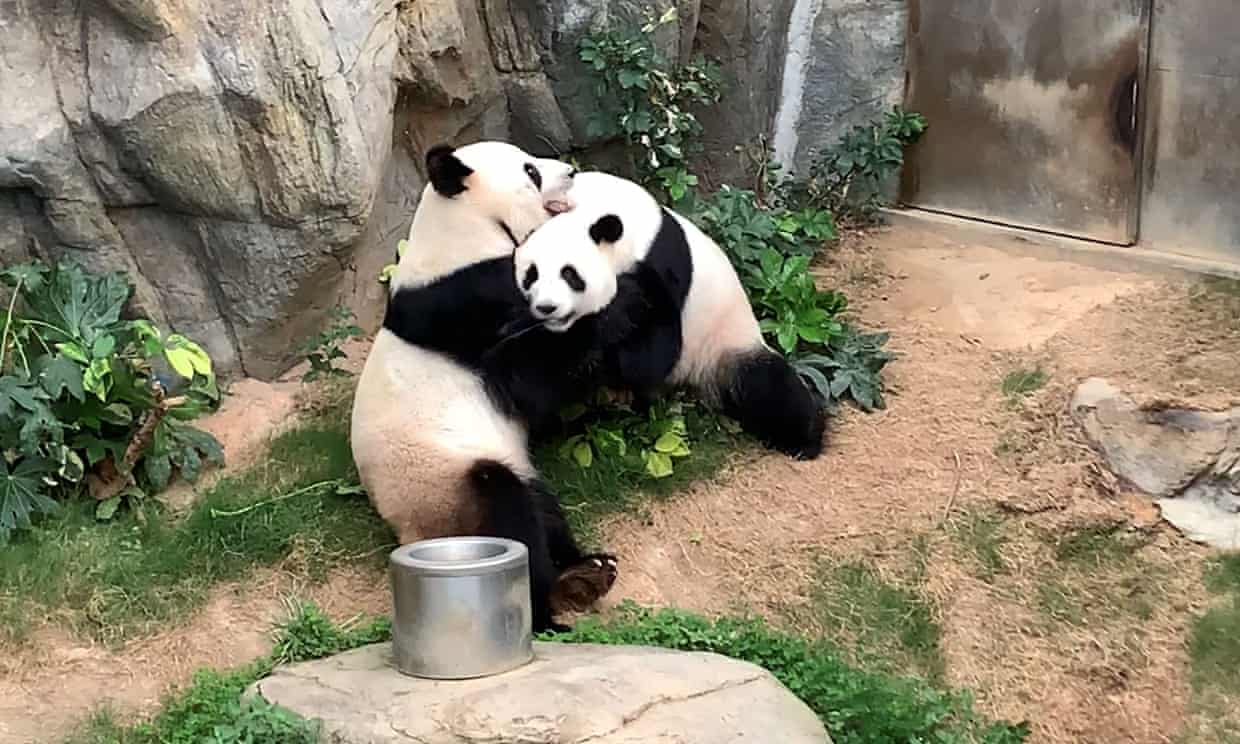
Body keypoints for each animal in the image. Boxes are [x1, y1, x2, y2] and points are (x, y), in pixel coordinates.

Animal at [350, 141, 618, 632]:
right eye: (531, 172)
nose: (571, 172)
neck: (463, 229)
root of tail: (408, 533)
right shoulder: (468, 303)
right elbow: (526, 378)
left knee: (542, 507)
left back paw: (585, 571)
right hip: (444, 485)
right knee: (508, 511)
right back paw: (548, 605)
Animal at [512, 170, 827, 460]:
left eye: (570, 275)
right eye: (531, 275)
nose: (547, 308)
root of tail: (692, 385)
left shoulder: (660, 265)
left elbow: (652, 355)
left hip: (724, 343)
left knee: (768, 387)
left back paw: (804, 442)